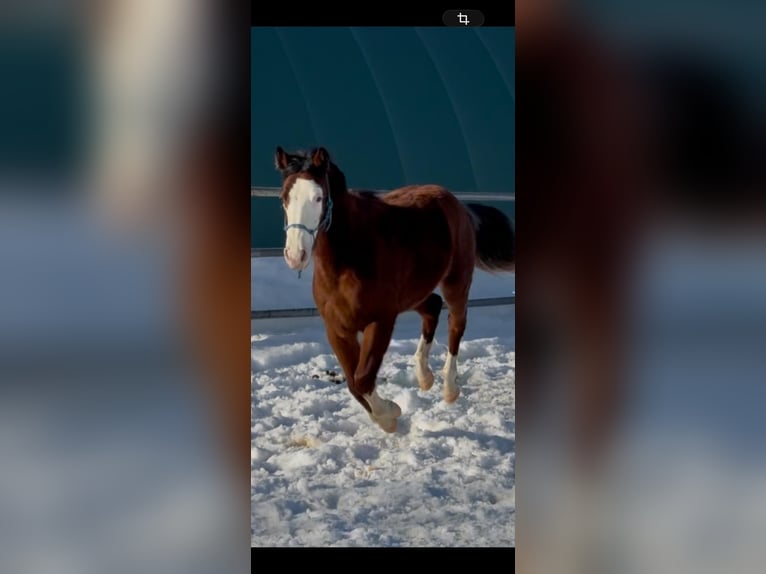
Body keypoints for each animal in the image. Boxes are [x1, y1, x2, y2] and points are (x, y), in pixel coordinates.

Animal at [275, 146, 515, 433]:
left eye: (318, 197)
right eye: (284, 198)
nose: (295, 255)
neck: (347, 263)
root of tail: (459, 205)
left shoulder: (381, 320)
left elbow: (363, 377)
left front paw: (390, 415)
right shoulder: (336, 328)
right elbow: (354, 383)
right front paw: (388, 416)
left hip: (456, 283)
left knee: (456, 325)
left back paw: (449, 388)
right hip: (414, 294)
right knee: (433, 307)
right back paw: (424, 377)